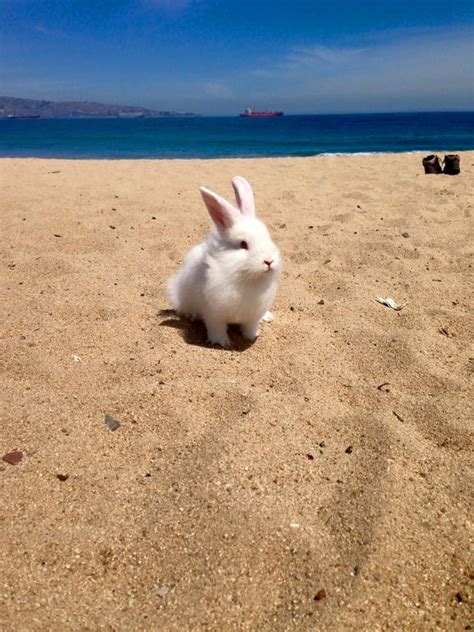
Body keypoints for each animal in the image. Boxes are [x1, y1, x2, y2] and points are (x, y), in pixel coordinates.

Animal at [167, 175, 282, 348]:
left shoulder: (253, 314)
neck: (244, 277)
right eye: (243, 244)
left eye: (268, 238)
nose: (269, 261)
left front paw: (252, 336)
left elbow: (250, 326)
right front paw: (221, 342)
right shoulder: (214, 313)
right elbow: (217, 327)